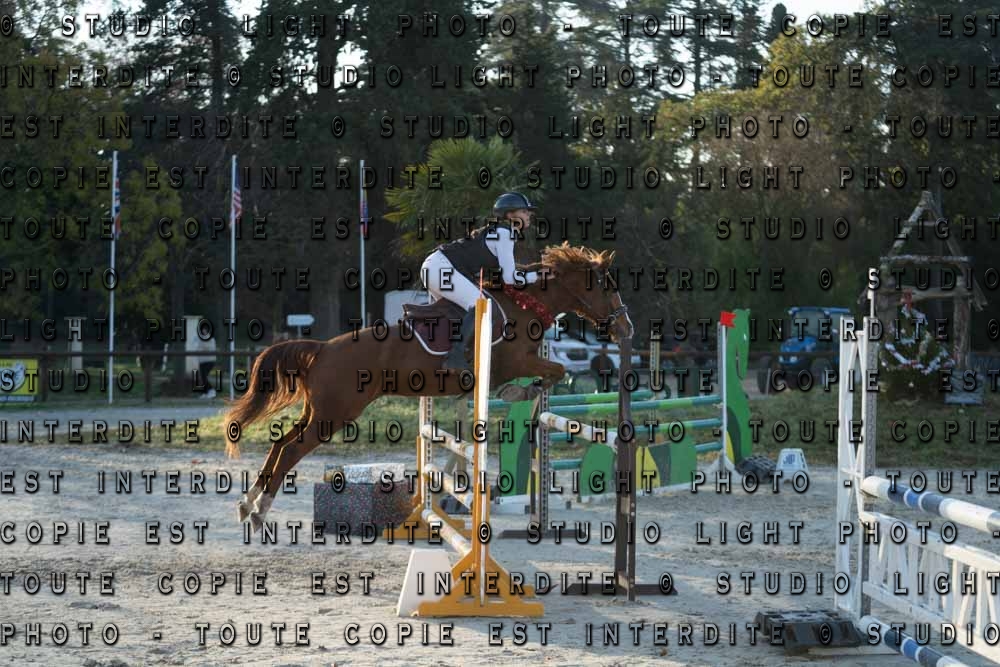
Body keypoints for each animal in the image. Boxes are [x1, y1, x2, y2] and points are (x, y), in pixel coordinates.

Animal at [223, 243, 633, 531]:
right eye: (607, 289)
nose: (625, 328)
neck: (526, 304)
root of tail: (323, 349)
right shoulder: (514, 362)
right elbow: (556, 369)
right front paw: (521, 393)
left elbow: (553, 372)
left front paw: (523, 394)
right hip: (336, 413)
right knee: (292, 450)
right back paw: (259, 511)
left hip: (318, 411)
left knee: (281, 443)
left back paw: (247, 503)